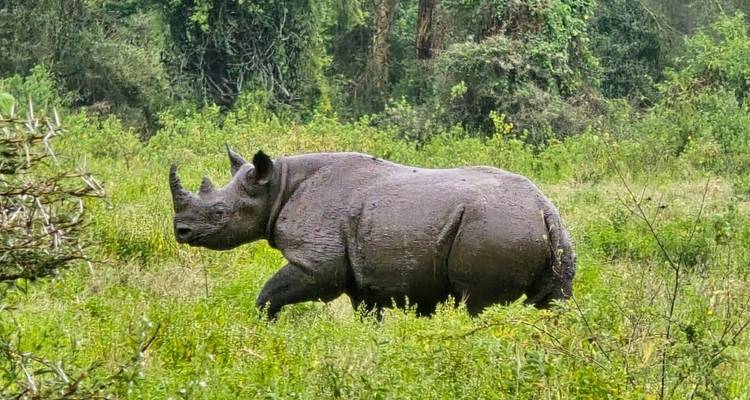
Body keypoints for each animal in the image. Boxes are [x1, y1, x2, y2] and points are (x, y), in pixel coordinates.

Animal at [170, 149, 575, 319]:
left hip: (493, 229)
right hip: (548, 234)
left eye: (219, 213)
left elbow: (270, 293)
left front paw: (264, 327)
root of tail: (544, 209)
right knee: (553, 305)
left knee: (478, 304)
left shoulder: (317, 263)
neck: (277, 186)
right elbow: (368, 316)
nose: (180, 231)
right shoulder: (364, 281)